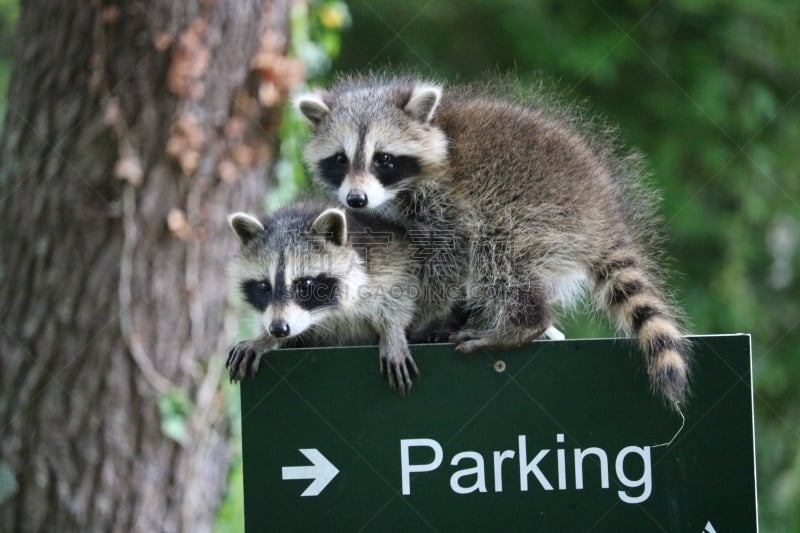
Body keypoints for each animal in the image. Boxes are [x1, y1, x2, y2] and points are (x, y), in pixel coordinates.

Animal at [228, 202, 454, 388]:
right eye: (264, 286)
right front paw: (264, 338)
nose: (278, 329)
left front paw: (392, 330)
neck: (326, 313)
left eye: (305, 284)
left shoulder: (386, 259)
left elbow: (400, 291)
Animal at [296, 75, 692, 408]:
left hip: (537, 212)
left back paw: (522, 323)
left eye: (384, 159)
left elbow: (449, 256)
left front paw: (419, 318)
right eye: (340, 159)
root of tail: (604, 212)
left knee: (498, 252)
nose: (355, 200)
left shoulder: (446, 200)